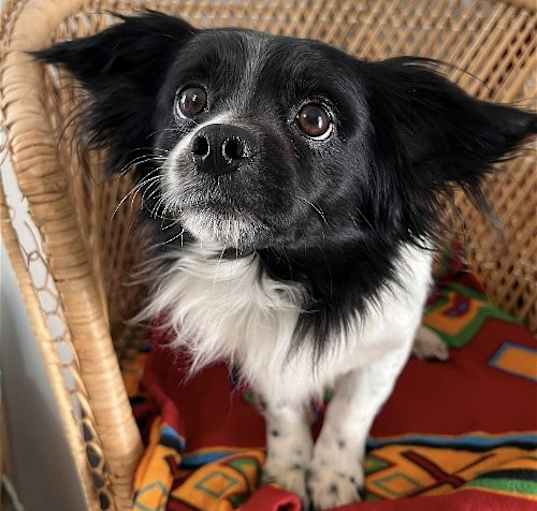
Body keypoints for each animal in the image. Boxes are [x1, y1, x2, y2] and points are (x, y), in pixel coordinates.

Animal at [33, 10, 536, 510]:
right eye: (191, 100)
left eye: (315, 118)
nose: (218, 142)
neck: (283, 270)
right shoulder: (262, 355)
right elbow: (284, 411)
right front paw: (288, 470)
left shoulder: (381, 350)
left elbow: (350, 413)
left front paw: (332, 478)